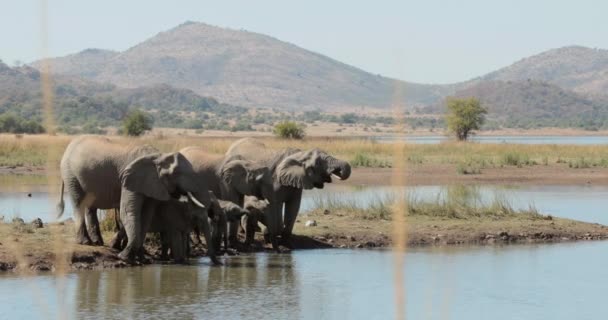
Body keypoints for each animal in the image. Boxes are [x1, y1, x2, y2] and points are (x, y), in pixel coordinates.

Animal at [56, 136, 214, 262]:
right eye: (178, 173)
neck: (159, 156)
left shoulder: (153, 184)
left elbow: (146, 215)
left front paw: (139, 258)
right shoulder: (129, 179)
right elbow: (128, 212)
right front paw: (124, 257)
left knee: (90, 206)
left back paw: (98, 242)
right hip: (70, 173)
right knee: (79, 203)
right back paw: (86, 242)